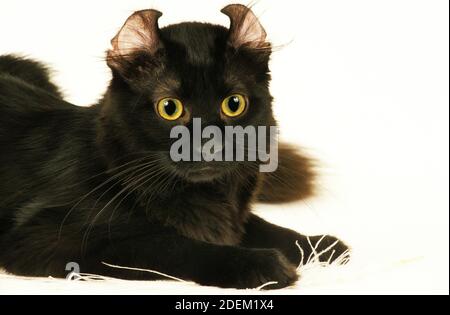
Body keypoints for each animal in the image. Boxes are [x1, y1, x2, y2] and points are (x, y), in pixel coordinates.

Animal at [0, 5, 348, 292]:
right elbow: (170, 245)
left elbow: (262, 225)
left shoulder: (233, 216)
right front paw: (261, 264)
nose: (210, 144)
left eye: (234, 104)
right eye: (170, 108)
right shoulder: (47, 238)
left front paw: (320, 245)